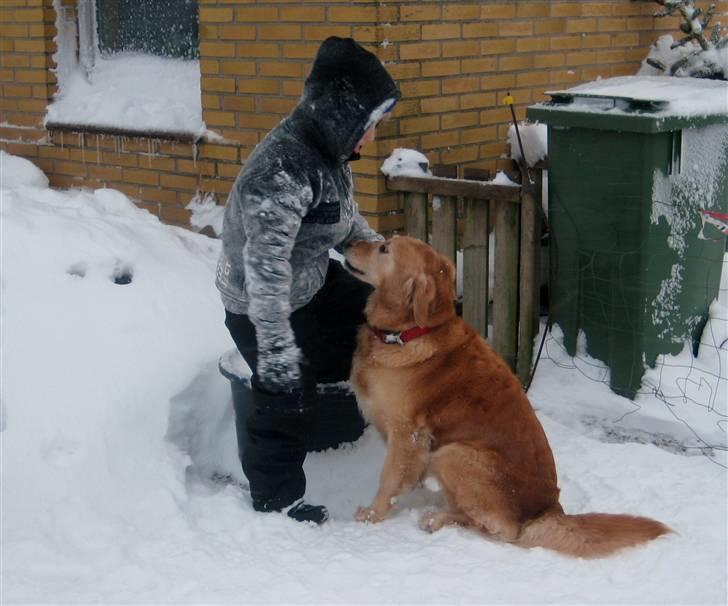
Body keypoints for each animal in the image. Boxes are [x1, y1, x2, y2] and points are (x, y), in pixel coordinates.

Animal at [344, 235, 668, 560]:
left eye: (384, 248)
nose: (347, 244)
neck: (410, 332)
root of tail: (549, 510)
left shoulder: (407, 434)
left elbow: (390, 479)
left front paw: (371, 515)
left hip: (454, 452)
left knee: (498, 528)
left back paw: (439, 518)